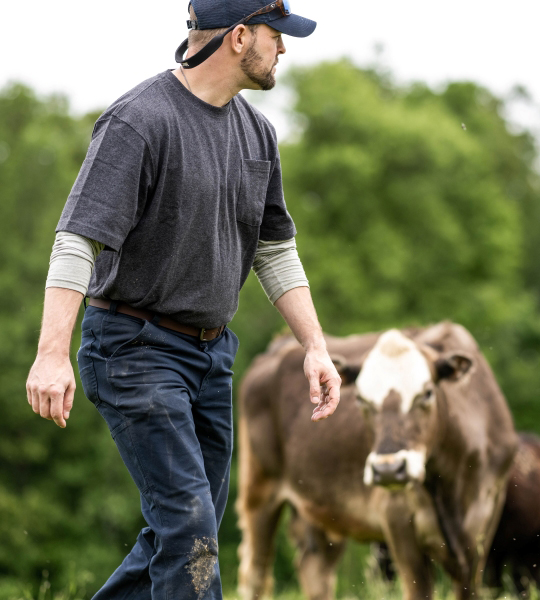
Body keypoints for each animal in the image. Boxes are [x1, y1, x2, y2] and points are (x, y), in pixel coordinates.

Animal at [236, 324, 516, 600]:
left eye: (427, 394)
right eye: (361, 399)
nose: (388, 469)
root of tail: (278, 346)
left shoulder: (486, 517)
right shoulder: (396, 518)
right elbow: (419, 588)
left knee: (314, 570)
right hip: (259, 491)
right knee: (256, 572)